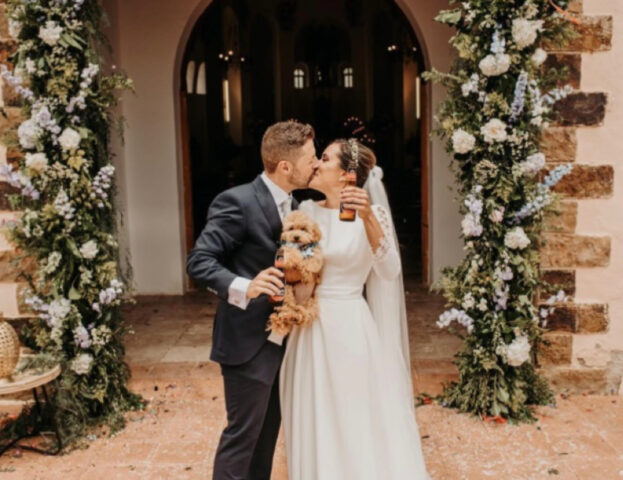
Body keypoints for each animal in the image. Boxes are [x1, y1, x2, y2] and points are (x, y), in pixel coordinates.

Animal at [266, 210, 324, 338]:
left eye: (303, 229)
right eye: (291, 228)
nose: (296, 236)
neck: (301, 247)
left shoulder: (316, 254)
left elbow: (314, 262)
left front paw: (307, 272)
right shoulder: (285, 253)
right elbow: (292, 253)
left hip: (311, 301)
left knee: (307, 314)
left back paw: (299, 316)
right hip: (287, 290)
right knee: (288, 308)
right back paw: (288, 316)